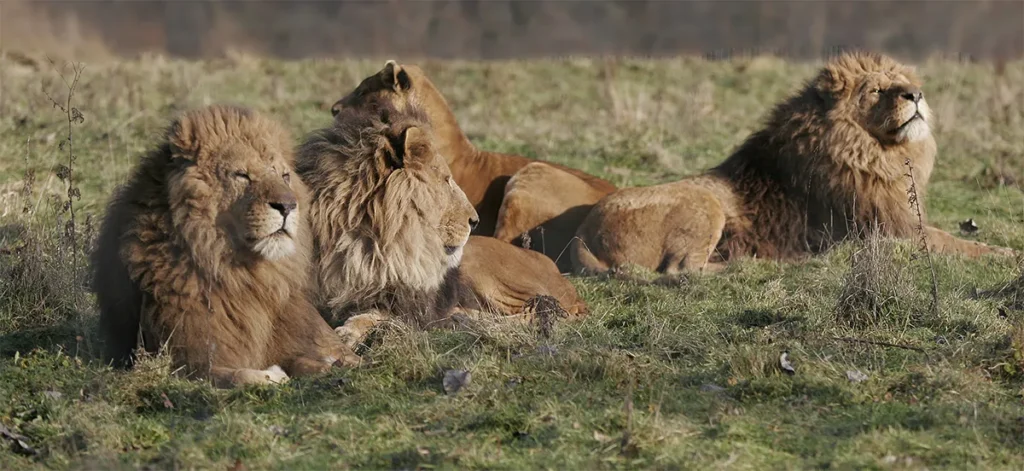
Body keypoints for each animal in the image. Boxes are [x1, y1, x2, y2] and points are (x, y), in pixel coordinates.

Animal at [92, 105, 360, 388]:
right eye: (242, 175)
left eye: (285, 176)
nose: (288, 205)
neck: (241, 274)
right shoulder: (184, 361)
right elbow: (239, 374)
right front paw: (274, 375)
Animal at [573, 51, 1017, 275]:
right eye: (876, 89)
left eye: (904, 83)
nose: (917, 95)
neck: (878, 152)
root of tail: (583, 232)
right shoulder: (894, 231)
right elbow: (959, 244)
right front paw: (1007, 254)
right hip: (706, 204)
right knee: (681, 269)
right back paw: (749, 265)